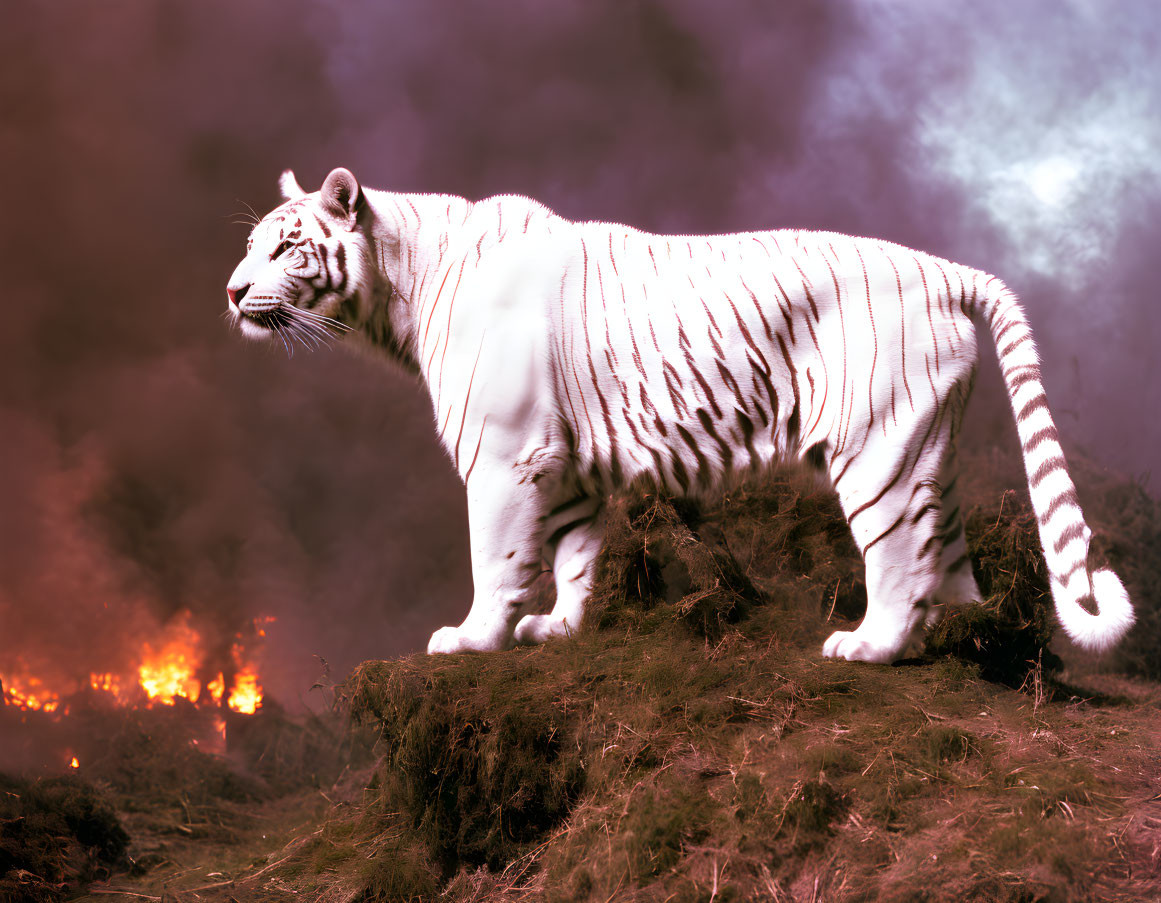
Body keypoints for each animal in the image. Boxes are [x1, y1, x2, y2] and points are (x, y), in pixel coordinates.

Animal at [226, 169, 1133, 659]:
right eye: (251, 245)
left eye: (285, 247)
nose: (232, 291)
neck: (398, 289)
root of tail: (944, 269)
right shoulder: (567, 462)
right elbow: (575, 553)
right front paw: (560, 626)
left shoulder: (503, 455)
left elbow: (498, 557)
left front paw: (473, 637)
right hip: (924, 444)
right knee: (944, 546)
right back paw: (970, 633)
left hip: (874, 447)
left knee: (899, 557)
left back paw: (870, 646)